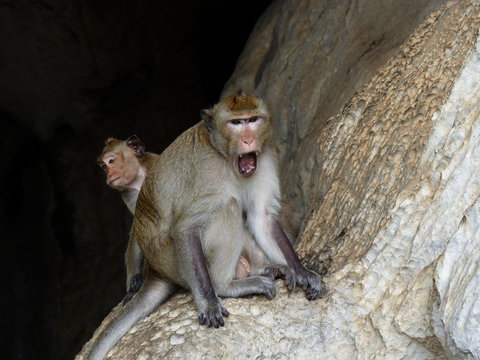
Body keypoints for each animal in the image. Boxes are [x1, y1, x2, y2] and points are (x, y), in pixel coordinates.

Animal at [86, 92, 326, 360]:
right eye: (236, 123)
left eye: (252, 120)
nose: (248, 139)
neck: (225, 157)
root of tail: (156, 271)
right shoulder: (206, 172)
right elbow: (185, 227)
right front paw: (210, 302)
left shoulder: (264, 156)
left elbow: (261, 218)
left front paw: (302, 272)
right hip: (172, 260)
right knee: (228, 207)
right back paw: (226, 286)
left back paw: (267, 269)